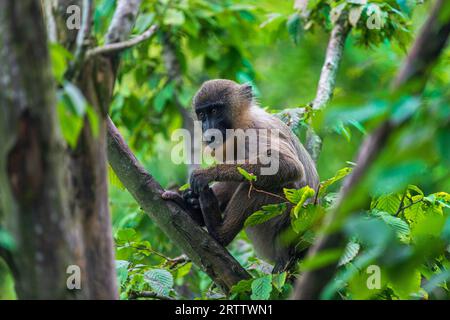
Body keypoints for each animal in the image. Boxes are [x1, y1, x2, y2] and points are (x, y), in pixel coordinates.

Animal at [163, 79, 318, 272]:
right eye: (202, 114)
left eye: (214, 111)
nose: (207, 127)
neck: (240, 125)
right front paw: (192, 199)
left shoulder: (256, 132)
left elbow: (289, 165)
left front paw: (207, 174)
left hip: (286, 224)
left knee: (261, 185)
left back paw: (218, 232)